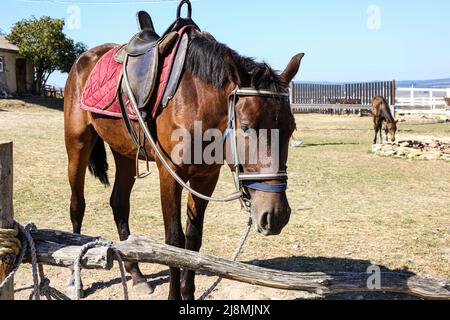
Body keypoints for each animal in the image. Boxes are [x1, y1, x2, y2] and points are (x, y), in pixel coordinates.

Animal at [63, 29, 304, 300]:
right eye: (245, 127)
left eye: (291, 129)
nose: (276, 215)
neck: (196, 103)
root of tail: (84, 58)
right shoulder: (170, 176)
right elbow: (174, 241)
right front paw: (174, 295)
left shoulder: (206, 177)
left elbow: (193, 239)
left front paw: (187, 294)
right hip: (77, 145)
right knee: (77, 205)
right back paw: (75, 278)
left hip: (124, 154)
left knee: (119, 204)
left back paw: (136, 275)